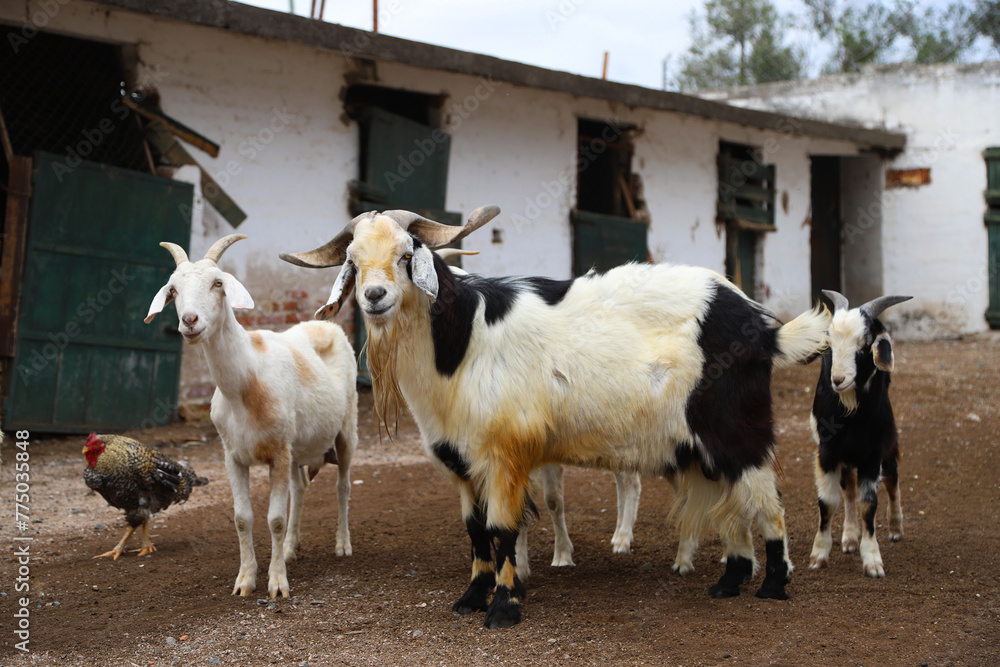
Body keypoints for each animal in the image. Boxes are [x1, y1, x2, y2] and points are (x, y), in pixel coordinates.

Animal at [145, 235, 358, 598]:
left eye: (218, 283)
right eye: (173, 289)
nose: (190, 321)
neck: (246, 383)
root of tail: (324, 324)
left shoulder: (278, 453)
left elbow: (275, 518)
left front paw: (277, 583)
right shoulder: (234, 456)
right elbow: (243, 517)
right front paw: (245, 580)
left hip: (346, 431)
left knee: (342, 486)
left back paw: (342, 545)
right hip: (298, 449)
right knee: (300, 489)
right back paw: (290, 548)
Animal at [281, 207, 829, 627]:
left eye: (404, 254)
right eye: (353, 261)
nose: (375, 298)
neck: (460, 344)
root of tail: (763, 330)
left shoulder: (503, 453)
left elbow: (502, 530)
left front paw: (503, 609)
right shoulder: (462, 457)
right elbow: (475, 531)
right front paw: (470, 599)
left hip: (738, 429)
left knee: (768, 500)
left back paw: (773, 585)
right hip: (703, 447)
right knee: (730, 503)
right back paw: (729, 582)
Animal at [808, 290, 911, 578]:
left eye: (865, 345)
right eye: (830, 343)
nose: (838, 380)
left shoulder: (872, 455)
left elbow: (869, 503)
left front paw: (873, 560)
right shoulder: (827, 452)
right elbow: (828, 501)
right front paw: (819, 555)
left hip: (888, 446)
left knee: (892, 479)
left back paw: (896, 527)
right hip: (845, 459)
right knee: (849, 490)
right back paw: (850, 537)